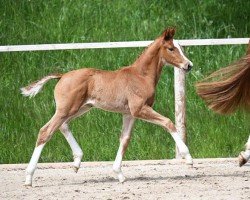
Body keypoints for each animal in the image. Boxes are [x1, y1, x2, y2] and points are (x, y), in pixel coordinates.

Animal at [21, 27, 193, 186]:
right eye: (171, 48)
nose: (189, 65)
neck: (141, 76)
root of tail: (62, 76)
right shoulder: (139, 109)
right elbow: (168, 122)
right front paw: (188, 157)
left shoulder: (129, 114)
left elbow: (125, 139)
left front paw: (119, 174)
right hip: (67, 109)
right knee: (45, 131)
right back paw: (29, 178)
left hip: (80, 108)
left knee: (62, 126)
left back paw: (77, 162)